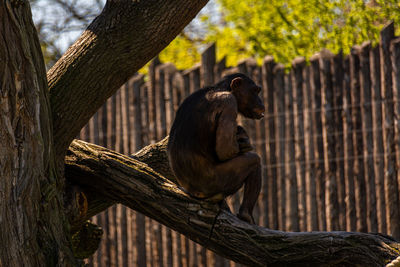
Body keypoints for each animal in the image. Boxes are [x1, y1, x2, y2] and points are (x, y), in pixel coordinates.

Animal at [167, 73, 264, 224]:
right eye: (255, 91)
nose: (261, 102)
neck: (222, 89)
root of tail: (192, 193)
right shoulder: (229, 102)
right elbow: (225, 151)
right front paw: (243, 139)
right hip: (215, 183)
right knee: (254, 160)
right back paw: (245, 215)